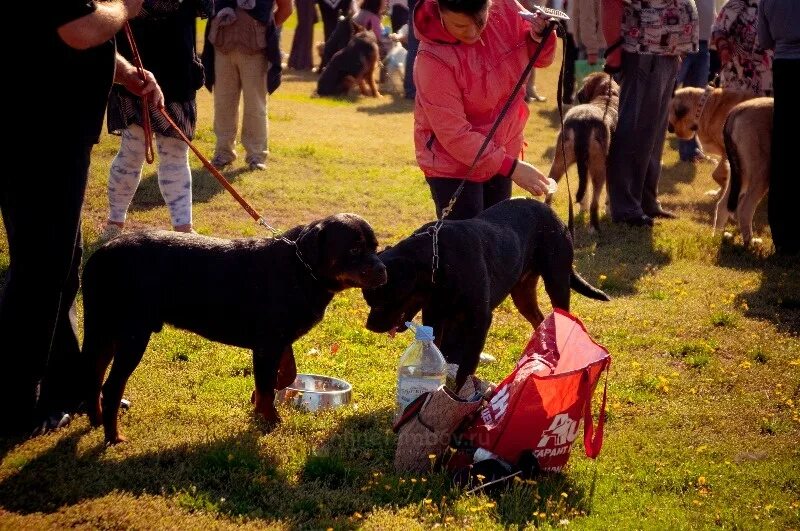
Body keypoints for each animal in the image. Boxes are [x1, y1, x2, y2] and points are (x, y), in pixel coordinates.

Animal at [83, 214, 390, 442]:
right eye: (354, 249)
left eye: (376, 247)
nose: (383, 269)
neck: (301, 269)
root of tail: (101, 253)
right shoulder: (268, 344)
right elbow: (266, 387)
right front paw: (270, 421)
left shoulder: (279, 341)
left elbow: (285, 374)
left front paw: (262, 399)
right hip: (133, 335)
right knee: (111, 386)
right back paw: (113, 438)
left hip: (104, 331)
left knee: (93, 376)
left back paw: (96, 422)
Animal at [366, 197, 608, 388]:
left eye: (382, 301)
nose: (369, 326)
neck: (438, 260)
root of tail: (552, 212)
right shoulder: (435, 316)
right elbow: (439, 351)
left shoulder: (479, 320)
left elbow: (466, 369)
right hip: (523, 293)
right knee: (539, 319)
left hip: (557, 280)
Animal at [712, 97, 776, 247]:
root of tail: (736, 111)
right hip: (761, 171)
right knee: (745, 209)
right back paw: (750, 244)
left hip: (740, 174)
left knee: (722, 205)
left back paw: (717, 238)